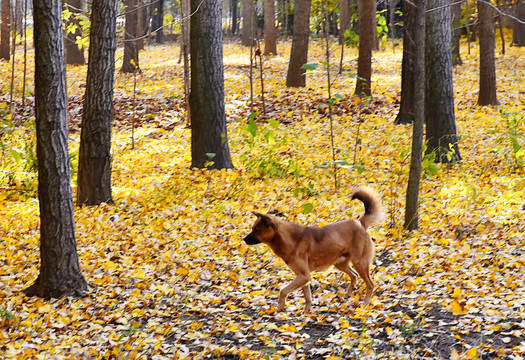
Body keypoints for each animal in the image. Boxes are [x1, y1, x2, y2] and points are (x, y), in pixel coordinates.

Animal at [244, 187, 382, 310]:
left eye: (256, 230)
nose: (244, 239)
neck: (288, 239)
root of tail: (360, 223)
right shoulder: (302, 276)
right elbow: (307, 296)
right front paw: (306, 311)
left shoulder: (304, 276)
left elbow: (283, 291)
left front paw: (281, 306)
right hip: (340, 263)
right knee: (354, 276)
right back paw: (348, 295)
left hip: (360, 263)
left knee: (370, 284)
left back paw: (365, 303)